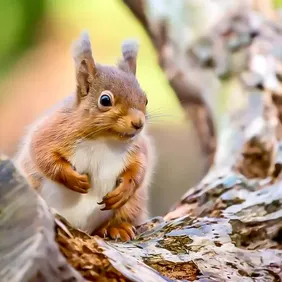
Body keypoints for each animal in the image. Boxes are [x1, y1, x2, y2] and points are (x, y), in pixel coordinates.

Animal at [14, 31, 155, 242]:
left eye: (145, 99)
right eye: (105, 100)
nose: (138, 123)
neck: (104, 140)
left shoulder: (137, 148)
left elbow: (139, 168)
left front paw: (124, 189)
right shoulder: (51, 131)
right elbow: (42, 155)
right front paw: (74, 179)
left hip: (133, 205)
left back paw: (116, 228)